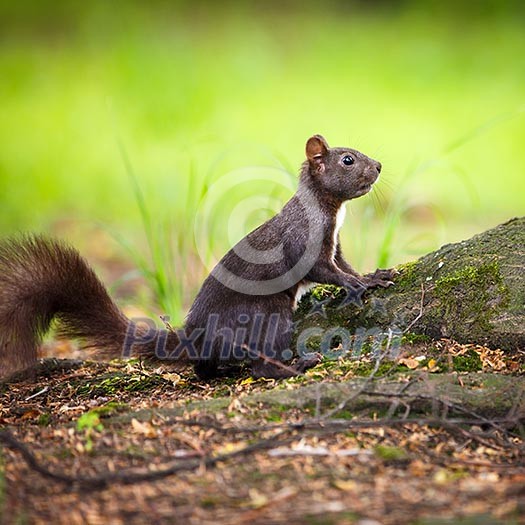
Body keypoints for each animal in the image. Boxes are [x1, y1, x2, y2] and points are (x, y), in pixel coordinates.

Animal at [0, 134, 392, 380]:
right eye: (348, 159)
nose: (379, 165)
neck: (329, 210)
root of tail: (197, 337)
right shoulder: (304, 242)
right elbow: (325, 270)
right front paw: (355, 285)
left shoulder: (334, 244)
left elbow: (343, 264)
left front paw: (371, 276)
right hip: (266, 314)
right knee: (260, 363)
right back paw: (296, 366)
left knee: (207, 369)